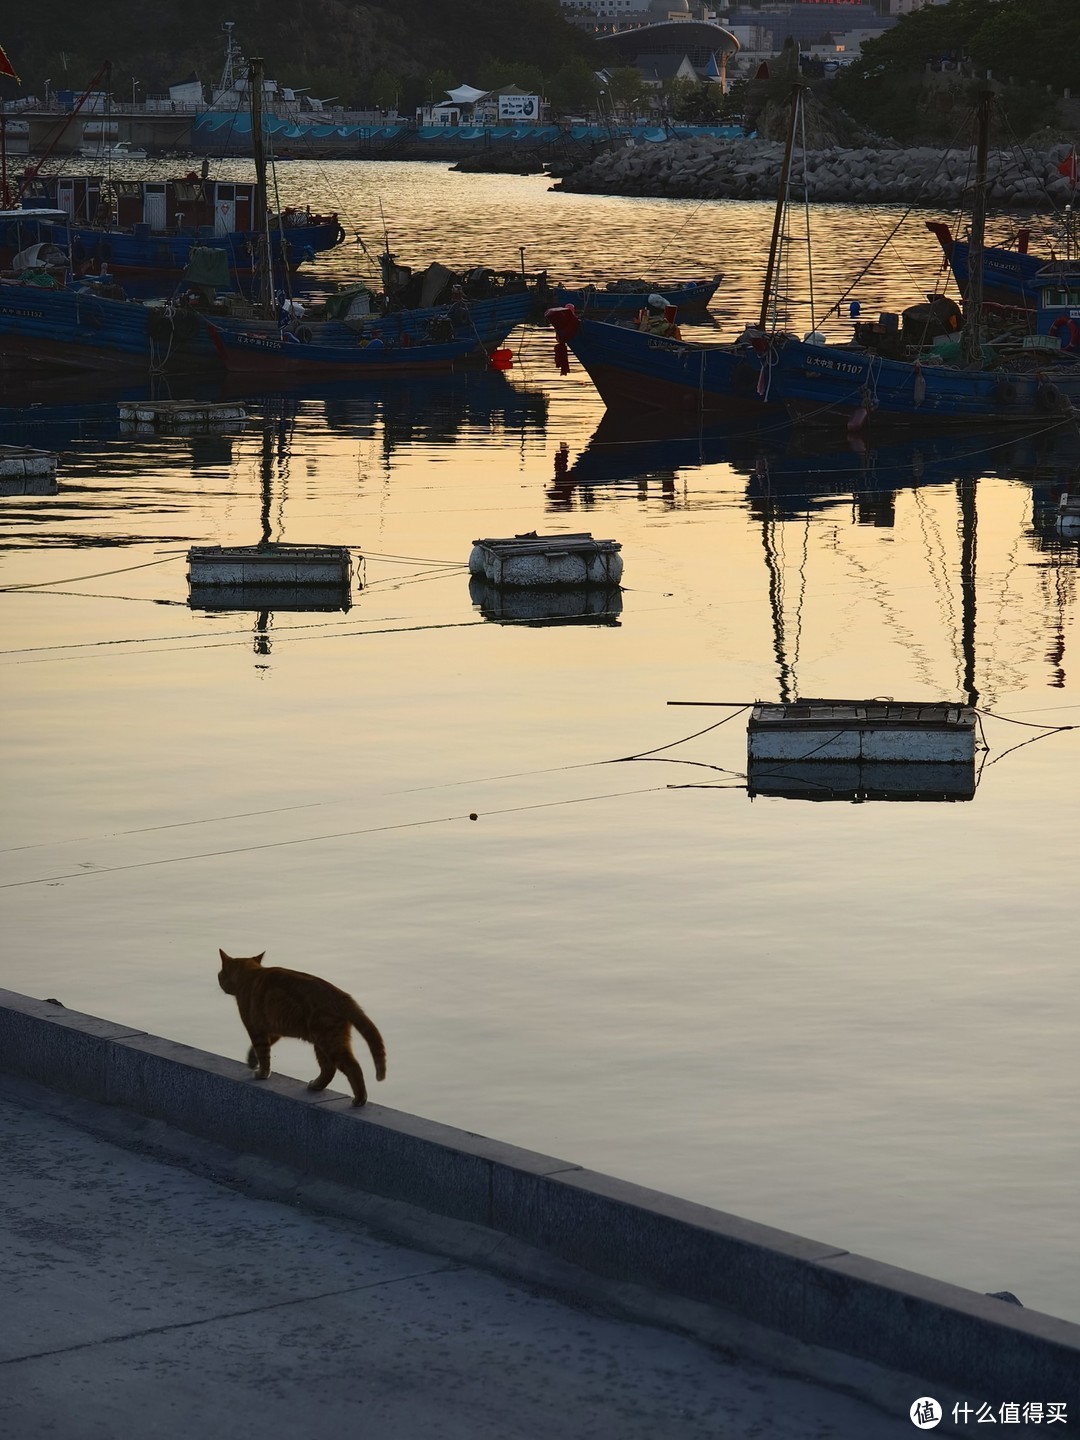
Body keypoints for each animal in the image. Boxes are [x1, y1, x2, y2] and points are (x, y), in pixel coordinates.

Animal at [214, 950, 385, 1105]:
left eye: (220, 975)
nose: (219, 980)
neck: (250, 975)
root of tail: (343, 996)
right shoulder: (273, 1031)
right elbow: (258, 1050)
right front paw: (251, 1060)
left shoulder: (256, 1029)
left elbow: (263, 1054)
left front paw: (262, 1073)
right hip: (322, 1045)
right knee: (329, 1069)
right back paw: (316, 1085)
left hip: (330, 1042)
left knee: (352, 1067)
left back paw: (360, 1099)